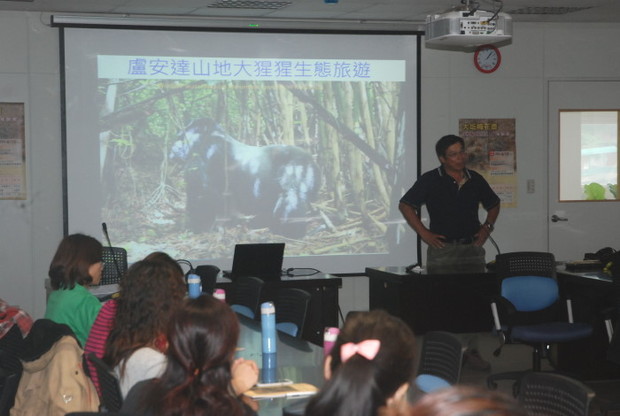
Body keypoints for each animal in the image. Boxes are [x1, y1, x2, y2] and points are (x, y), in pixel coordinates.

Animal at [172, 118, 322, 239]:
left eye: (179, 137)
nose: (172, 150)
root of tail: (313, 161)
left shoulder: (205, 153)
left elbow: (200, 192)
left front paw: (198, 225)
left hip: (298, 164)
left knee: (291, 193)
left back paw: (290, 231)